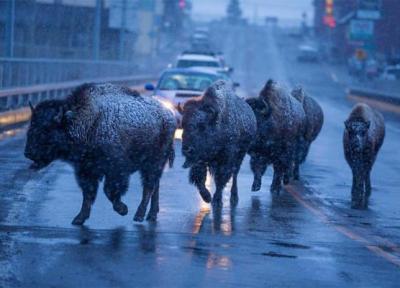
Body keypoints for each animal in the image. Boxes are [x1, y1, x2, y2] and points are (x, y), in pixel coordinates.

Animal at [24, 83, 176, 225]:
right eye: (31, 125)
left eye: (46, 129)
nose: (28, 153)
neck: (89, 122)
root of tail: (169, 115)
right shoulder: (85, 170)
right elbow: (88, 194)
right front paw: (79, 219)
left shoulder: (115, 170)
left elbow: (109, 190)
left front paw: (123, 209)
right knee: (155, 187)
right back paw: (151, 215)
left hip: (153, 163)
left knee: (149, 187)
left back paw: (139, 215)